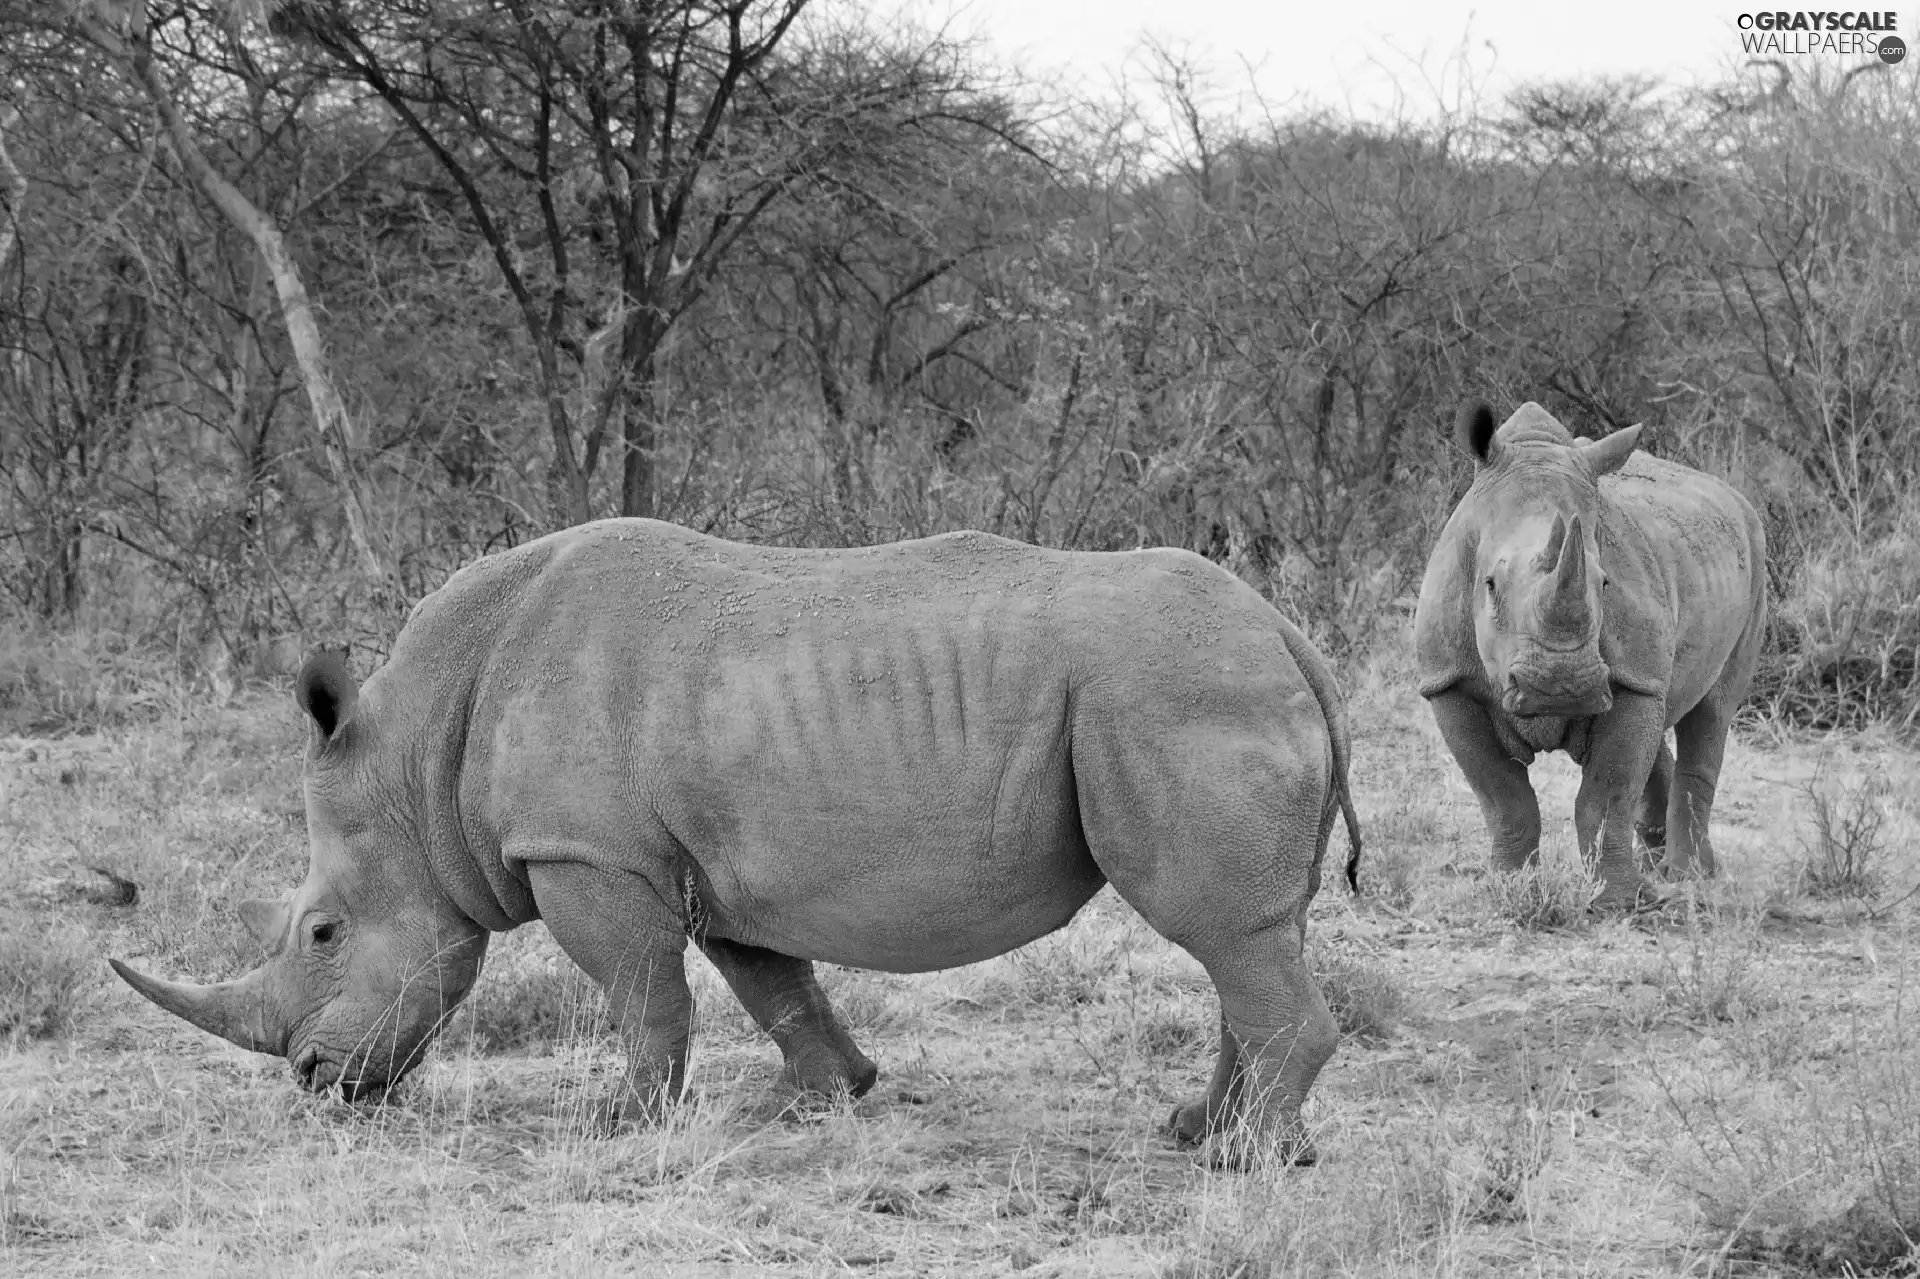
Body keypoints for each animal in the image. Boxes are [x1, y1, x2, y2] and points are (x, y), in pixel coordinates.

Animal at [108, 522, 1367, 1167]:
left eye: (322, 931)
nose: (318, 1082)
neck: (416, 759)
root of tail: (1289, 636)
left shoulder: (587, 854)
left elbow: (640, 991)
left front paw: (620, 1126)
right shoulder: (707, 863)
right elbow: (773, 980)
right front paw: (820, 1101)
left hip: (1173, 694)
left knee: (1221, 930)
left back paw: (1243, 1161)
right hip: (1192, 689)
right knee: (1245, 935)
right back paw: (1199, 1131)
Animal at [1413, 399, 1766, 906]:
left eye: (1604, 584)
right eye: (1490, 585)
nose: (1561, 686)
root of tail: (1735, 497)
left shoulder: (1630, 678)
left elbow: (1607, 793)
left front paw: (1620, 902)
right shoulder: (1447, 682)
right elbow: (1504, 798)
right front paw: (1510, 889)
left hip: (1755, 558)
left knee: (1712, 712)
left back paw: (1689, 877)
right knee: (1665, 711)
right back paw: (1659, 865)